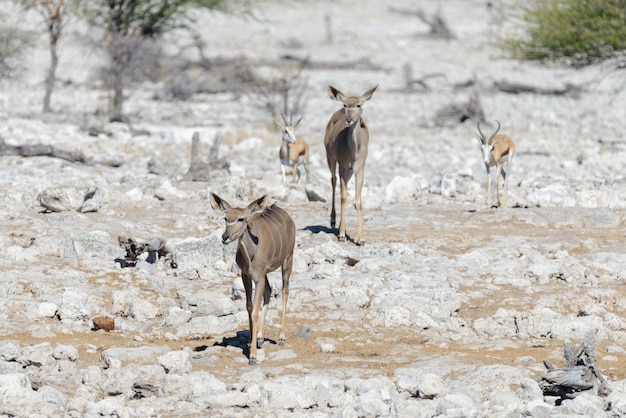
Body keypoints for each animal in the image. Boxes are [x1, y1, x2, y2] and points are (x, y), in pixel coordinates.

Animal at [210, 194, 294, 364]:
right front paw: (251, 341)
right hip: (266, 273)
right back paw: (260, 337)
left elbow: (255, 310)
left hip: (287, 260)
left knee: (285, 291)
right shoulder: (247, 275)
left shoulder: (258, 277)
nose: (225, 237)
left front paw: (253, 356)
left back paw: (281, 337)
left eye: (241, 219)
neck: (251, 254)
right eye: (226, 218)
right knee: (269, 290)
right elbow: (249, 306)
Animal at [322, 84, 376, 245]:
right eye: (345, 105)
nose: (349, 119)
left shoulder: (359, 170)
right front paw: (341, 235)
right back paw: (334, 222)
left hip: (349, 171)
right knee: (333, 181)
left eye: (359, 105)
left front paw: (361, 239)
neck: (354, 150)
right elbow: (344, 198)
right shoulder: (342, 167)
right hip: (330, 159)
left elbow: (358, 201)